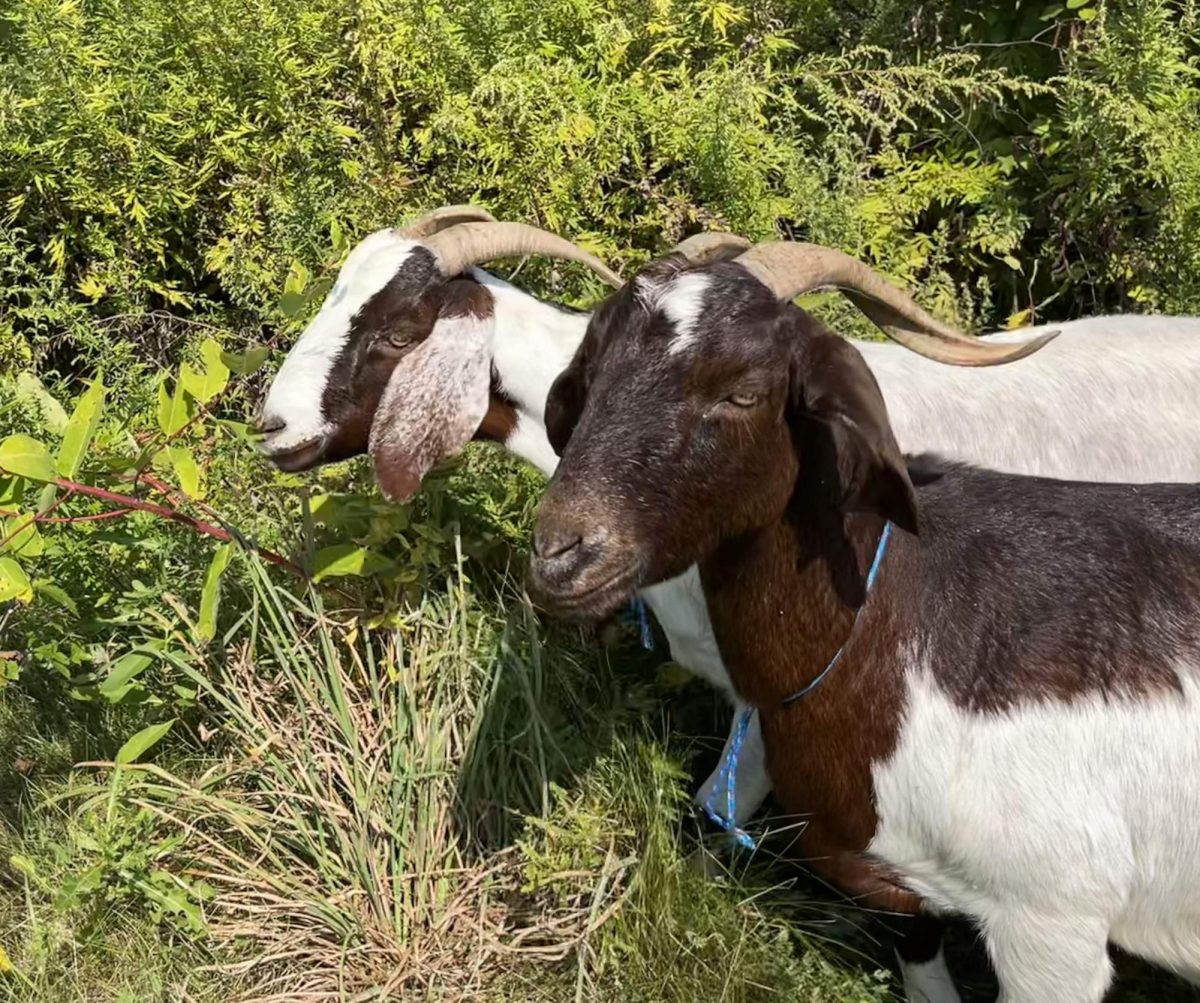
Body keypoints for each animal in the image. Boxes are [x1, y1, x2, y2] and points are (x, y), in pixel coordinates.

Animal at [530, 244, 1200, 1003]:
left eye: (743, 391)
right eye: (592, 372)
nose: (562, 555)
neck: (891, 630)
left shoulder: (1053, 919)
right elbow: (916, 943)